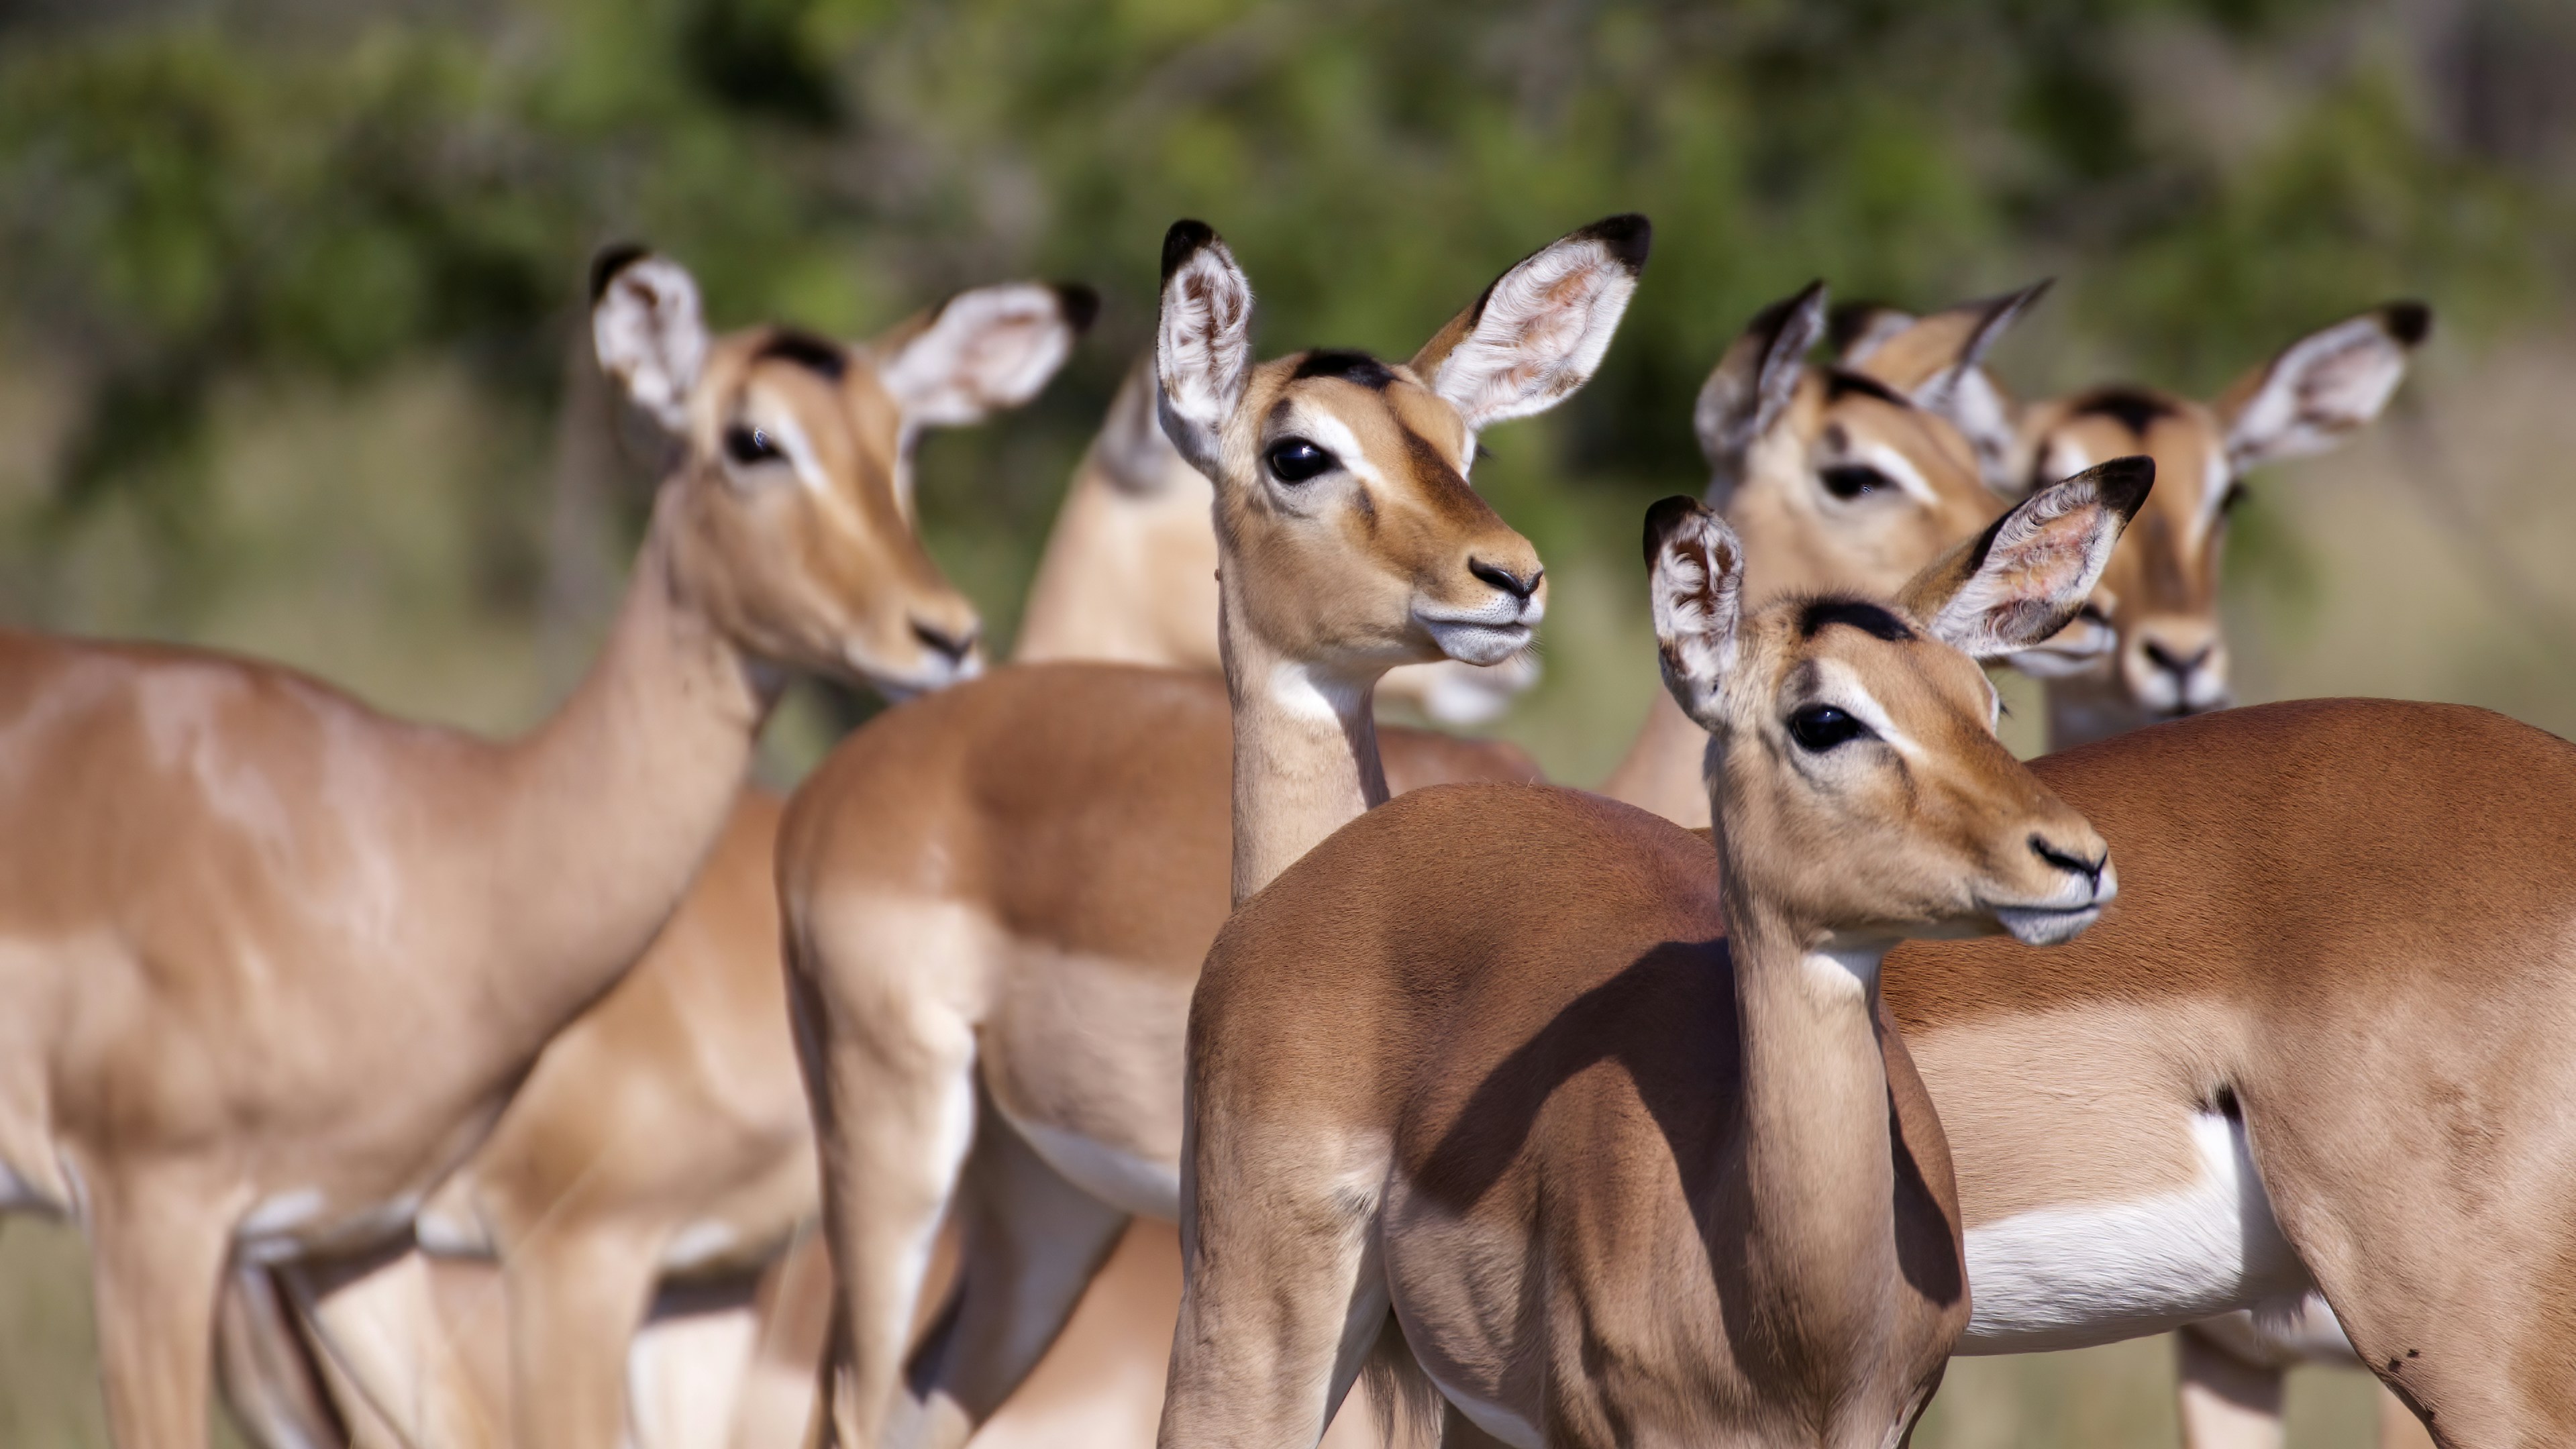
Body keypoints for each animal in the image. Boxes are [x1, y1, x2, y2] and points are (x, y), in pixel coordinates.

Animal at [0, 242, 1096, 1449]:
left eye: (900, 441)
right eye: (752, 439)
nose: (942, 633)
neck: (440, 851)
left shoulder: (358, 1231)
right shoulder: (172, 1213)